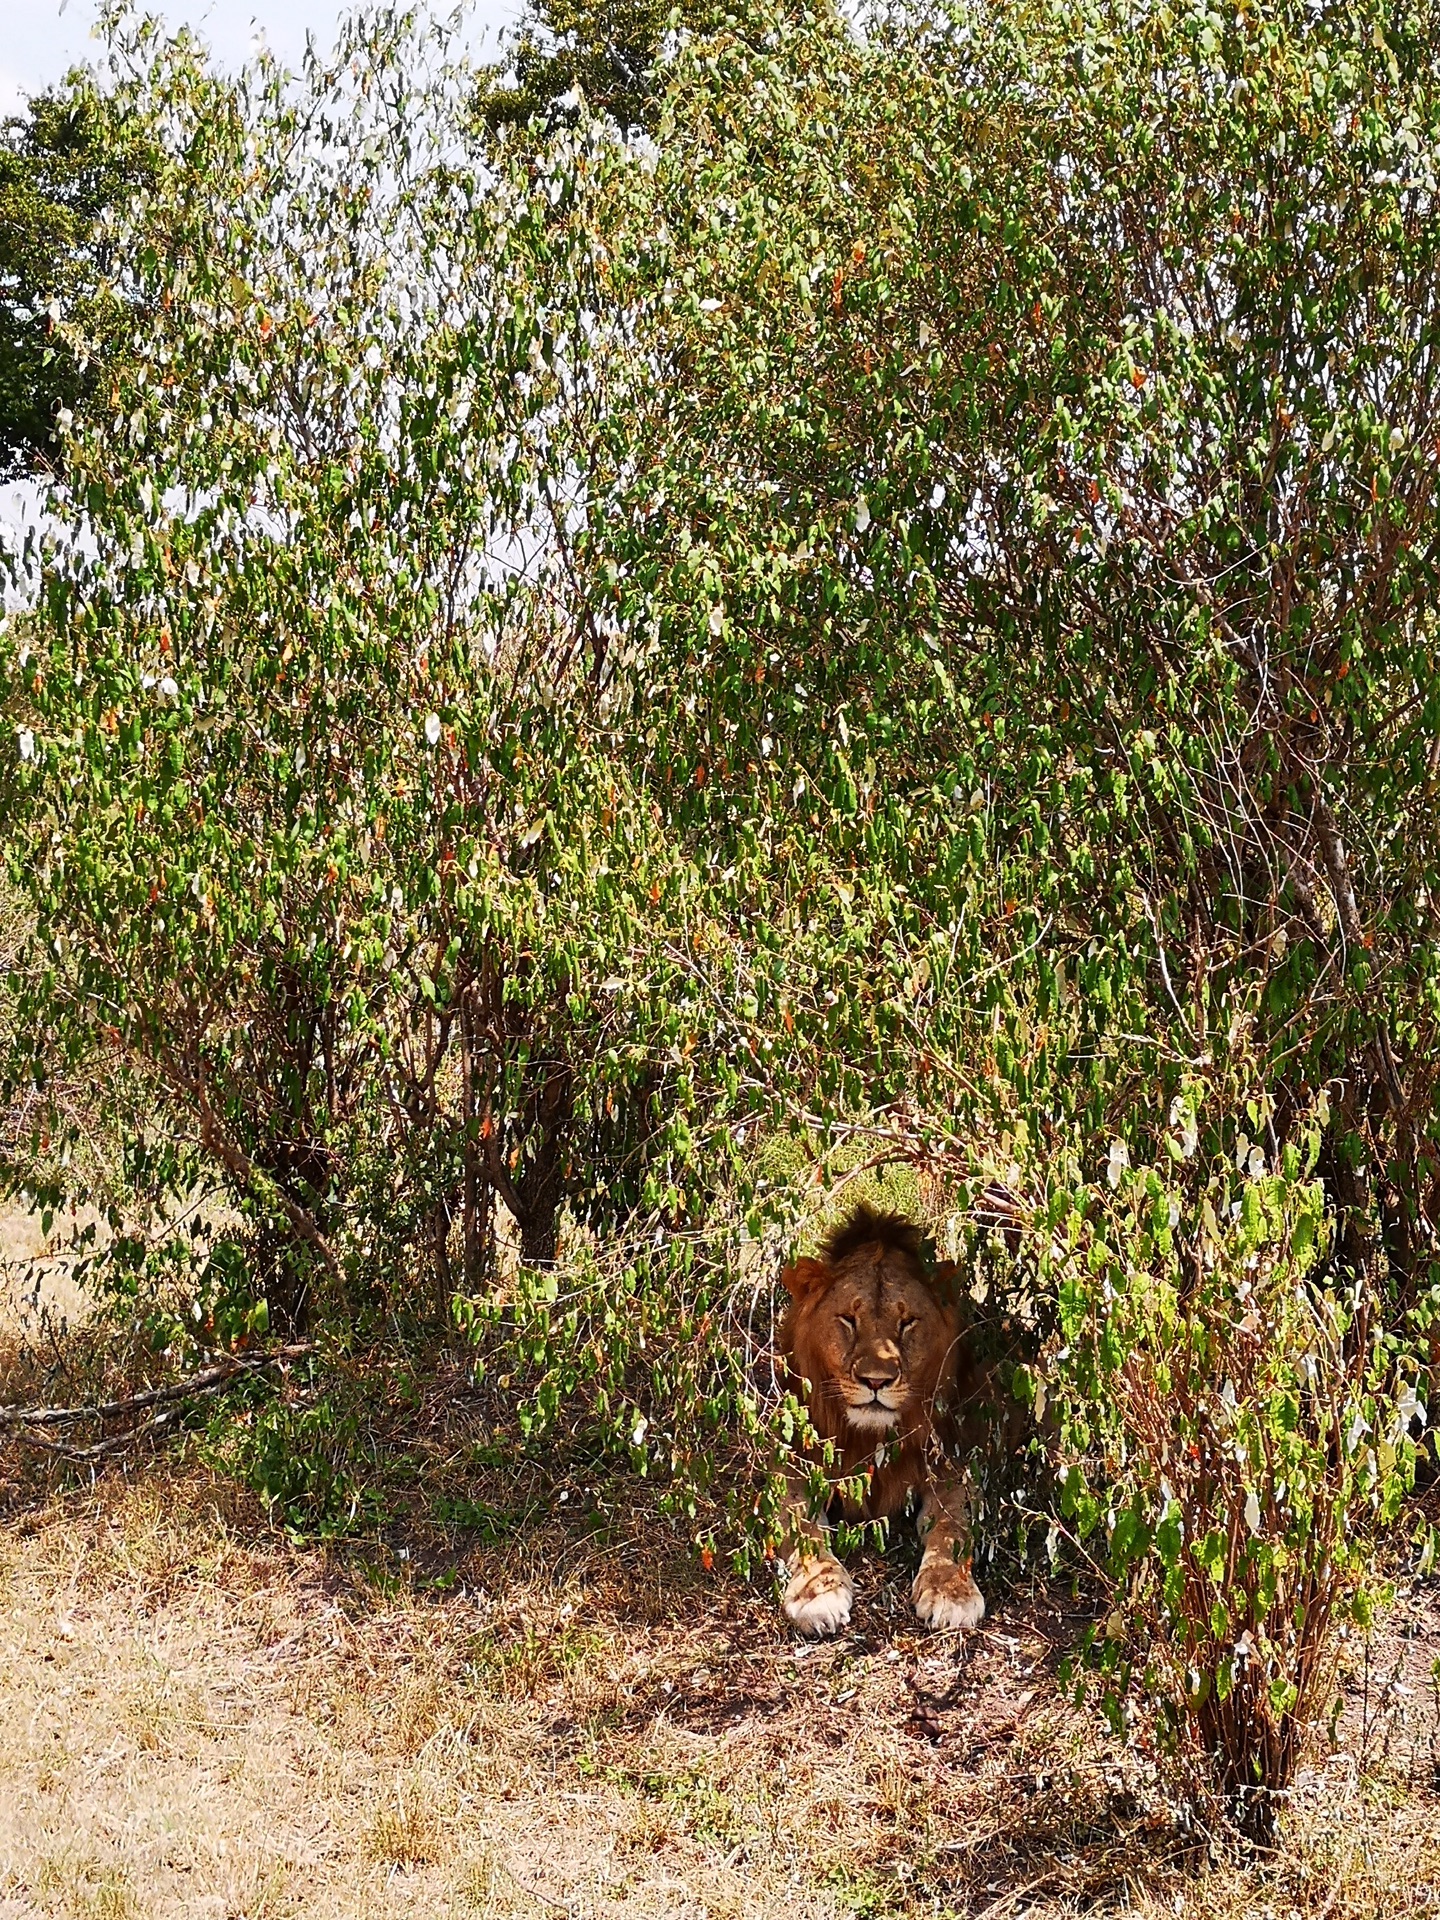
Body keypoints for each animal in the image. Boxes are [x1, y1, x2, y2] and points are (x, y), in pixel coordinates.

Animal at [783, 1198, 990, 1635]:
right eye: (848, 1319)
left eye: (907, 1322)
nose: (876, 1380)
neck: (871, 1438)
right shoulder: (790, 1468)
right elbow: (804, 1531)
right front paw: (818, 1593)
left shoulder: (955, 1468)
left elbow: (951, 1529)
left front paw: (952, 1594)